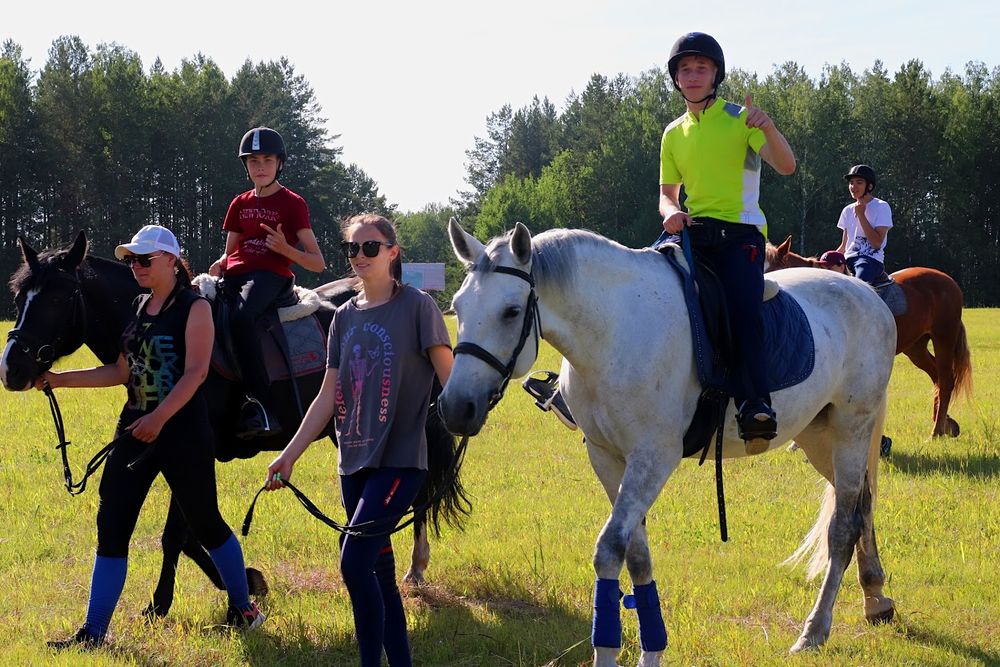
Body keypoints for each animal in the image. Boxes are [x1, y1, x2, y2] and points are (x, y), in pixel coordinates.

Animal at [0, 232, 468, 620]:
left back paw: (414, 568)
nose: (12, 368)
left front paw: (175, 601)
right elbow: (190, 535)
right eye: (19, 296)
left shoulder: (195, 451)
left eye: (59, 298)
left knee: (415, 491)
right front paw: (240, 585)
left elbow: (178, 534)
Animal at [442, 223, 896, 667]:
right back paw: (875, 598)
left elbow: (610, 549)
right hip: (818, 437)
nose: (455, 407)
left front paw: (609, 651)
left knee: (844, 525)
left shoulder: (653, 459)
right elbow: (636, 554)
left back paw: (815, 630)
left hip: (852, 430)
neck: (614, 330)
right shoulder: (607, 459)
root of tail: (868, 297)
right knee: (862, 506)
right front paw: (651, 649)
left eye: (511, 311)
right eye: (458, 308)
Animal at [764, 235, 968, 438]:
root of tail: (949, 281)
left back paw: (936, 431)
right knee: (936, 377)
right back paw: (944, 424)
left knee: (945, 381)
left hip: (944, 337)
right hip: (916, 348)